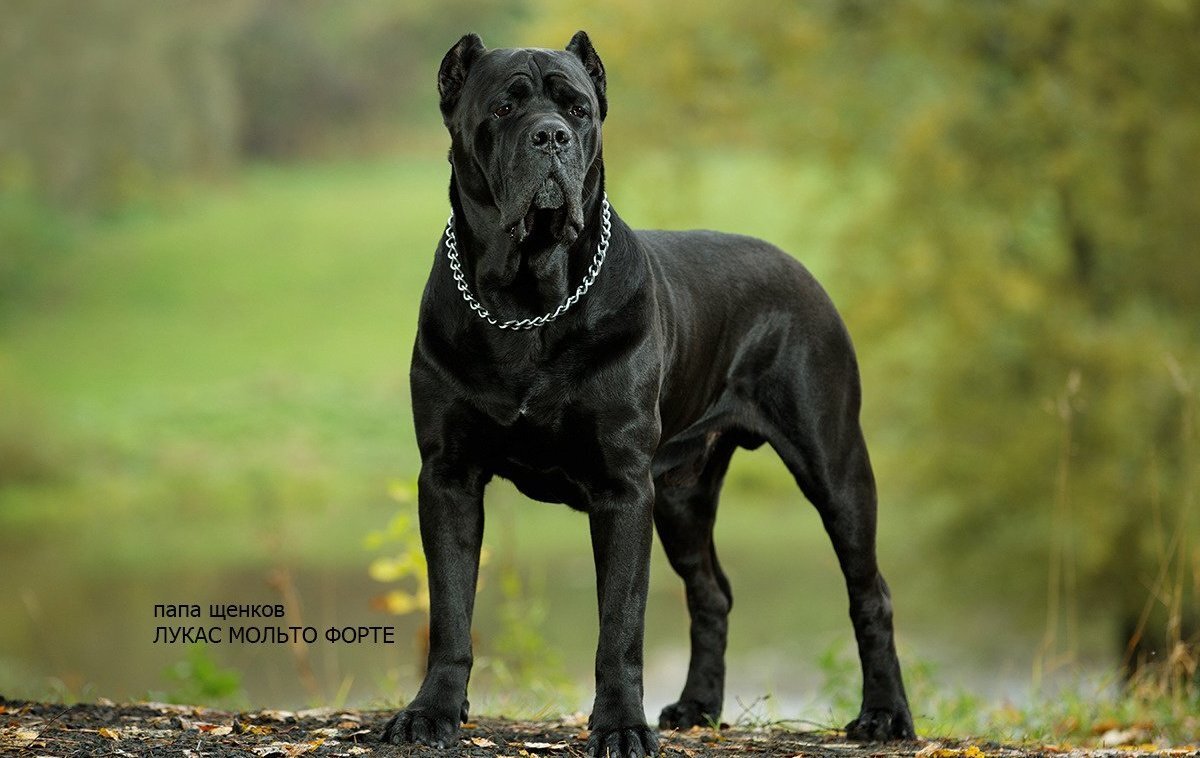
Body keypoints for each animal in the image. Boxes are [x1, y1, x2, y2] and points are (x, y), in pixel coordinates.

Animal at [384, 31, 916, 758]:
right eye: (503, 107)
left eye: (577, 109)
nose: (550, 137)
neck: (526, 301)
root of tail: (800, 269)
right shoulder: (449, 476)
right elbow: (450, 608)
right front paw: (432, 712)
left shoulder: (622, 486)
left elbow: (620, 621)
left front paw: (619, 726)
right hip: (683, 494)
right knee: (712, 592)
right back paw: (698, 706)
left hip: (834, 467)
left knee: (871, 590)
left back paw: (885, 716)